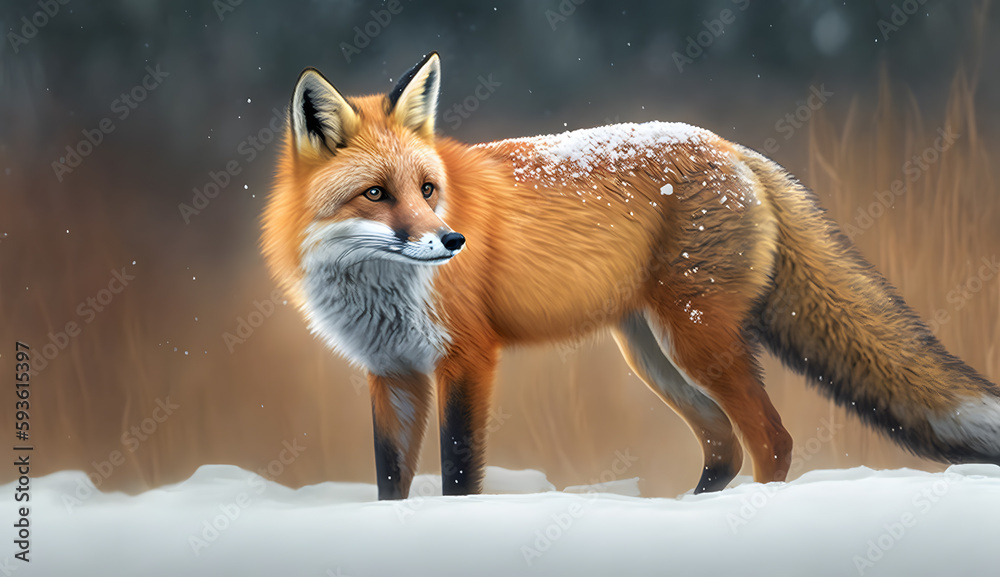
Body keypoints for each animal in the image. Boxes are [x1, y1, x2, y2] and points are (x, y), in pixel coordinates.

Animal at [262, 52, 1000, 500]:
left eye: (427, 189)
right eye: (376, 195)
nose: (452, 241)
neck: (378, 291)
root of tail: (733, 147)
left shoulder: (467, 359)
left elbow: (460, 470)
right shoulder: (392, 374)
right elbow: (391, 482)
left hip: (696, 340)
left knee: (772, 441)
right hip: (652, 354)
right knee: (724, 448)